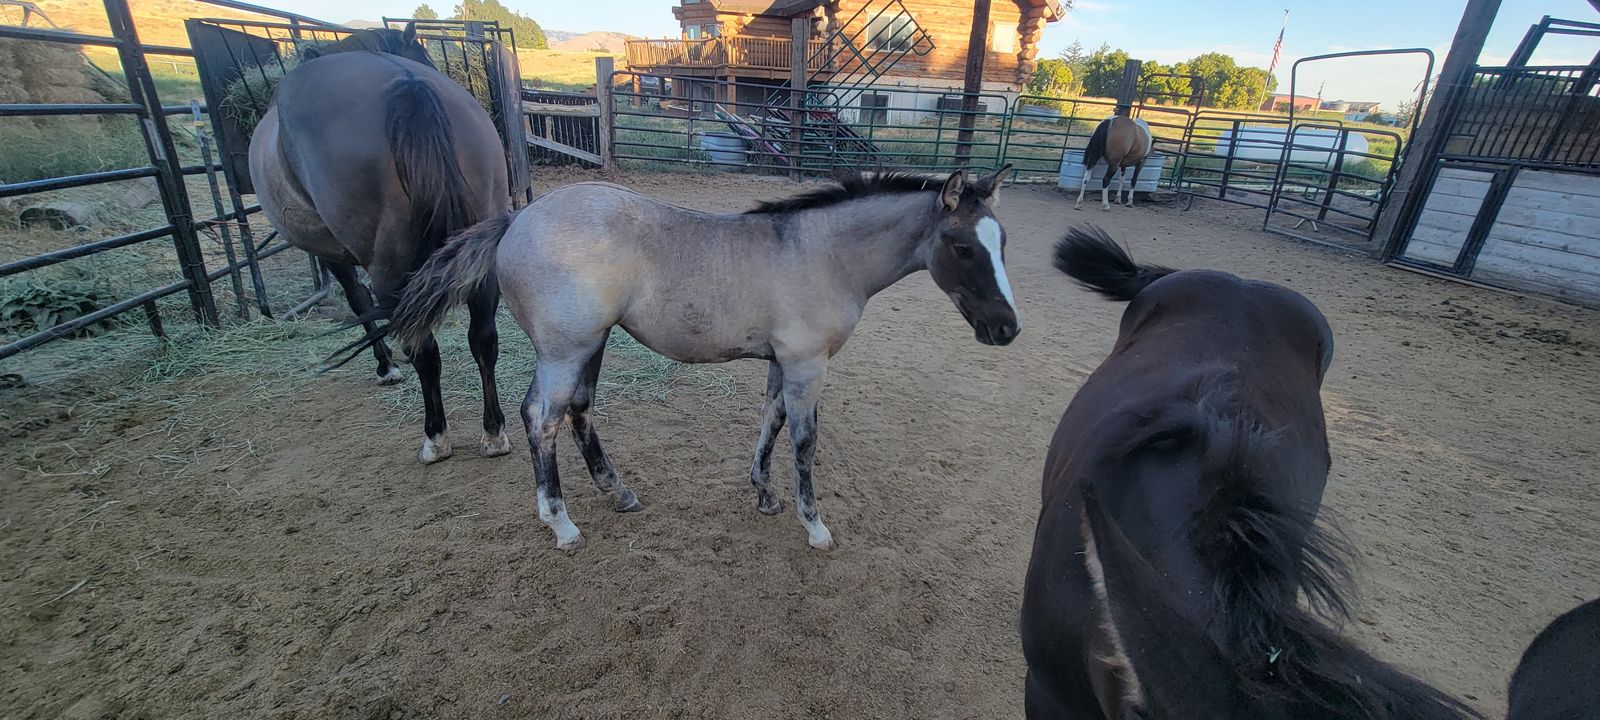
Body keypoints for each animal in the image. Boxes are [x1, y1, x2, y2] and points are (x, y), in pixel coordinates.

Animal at [248, 25, 511, 464]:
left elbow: (359, 301)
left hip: (389, 264)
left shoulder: (332, 253)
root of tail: (408, 86)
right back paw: (493, 433)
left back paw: (435, 437)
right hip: (479, 249)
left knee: (424, 349)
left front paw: (386, 366)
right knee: (483, 339)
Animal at [387, 168, 1020, 551]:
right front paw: (814, 524)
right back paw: (561, 521)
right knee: (542, 418)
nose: (1007, 328)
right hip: (565, 351)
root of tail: (515, 219)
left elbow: (772, 421)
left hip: (592, 344)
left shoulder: (781, 361)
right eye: (963, 247)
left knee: (578, 410)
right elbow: (804, 441)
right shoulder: (808, 364)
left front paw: (764, 495)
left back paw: (617, 492)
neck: (822, 253)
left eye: (1005, 242)